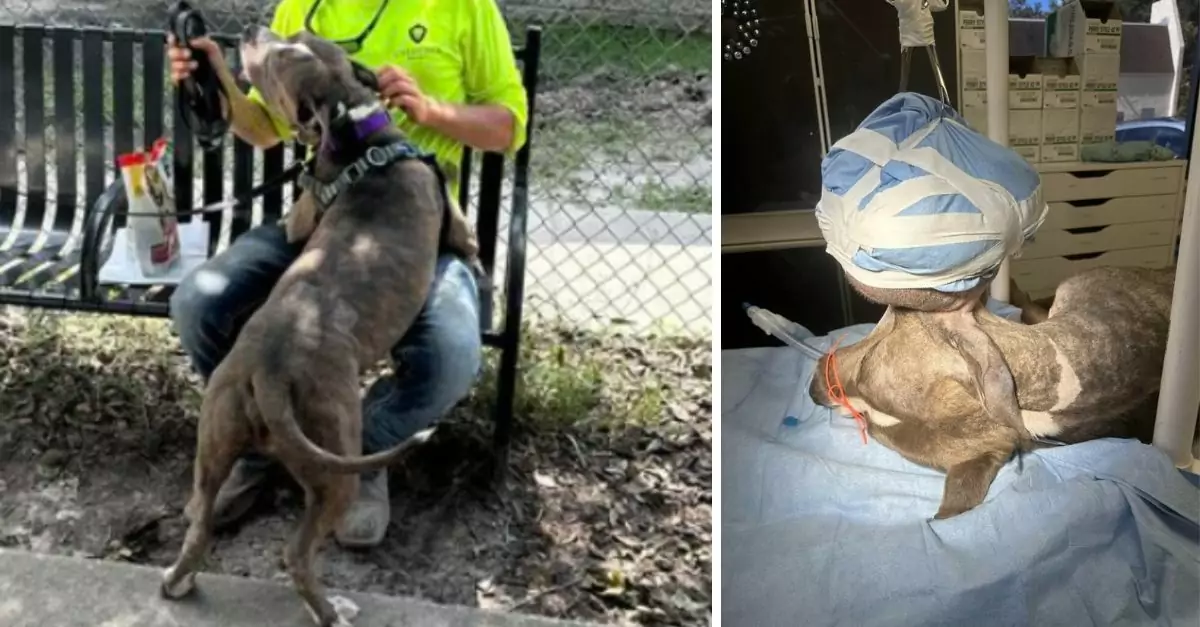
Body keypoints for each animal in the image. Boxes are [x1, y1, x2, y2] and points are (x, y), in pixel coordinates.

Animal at [159, 26, 458, 619]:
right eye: (280, 59)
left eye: (301, 37)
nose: (253, 32)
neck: (356, 135)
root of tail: (268, 370)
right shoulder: (455, 220)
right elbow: (471, 245)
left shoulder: (301, 216)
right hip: (332, 456)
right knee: (297, 555)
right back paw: (332, 611)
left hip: (214, 438)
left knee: (200, 524)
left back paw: (177, 581)